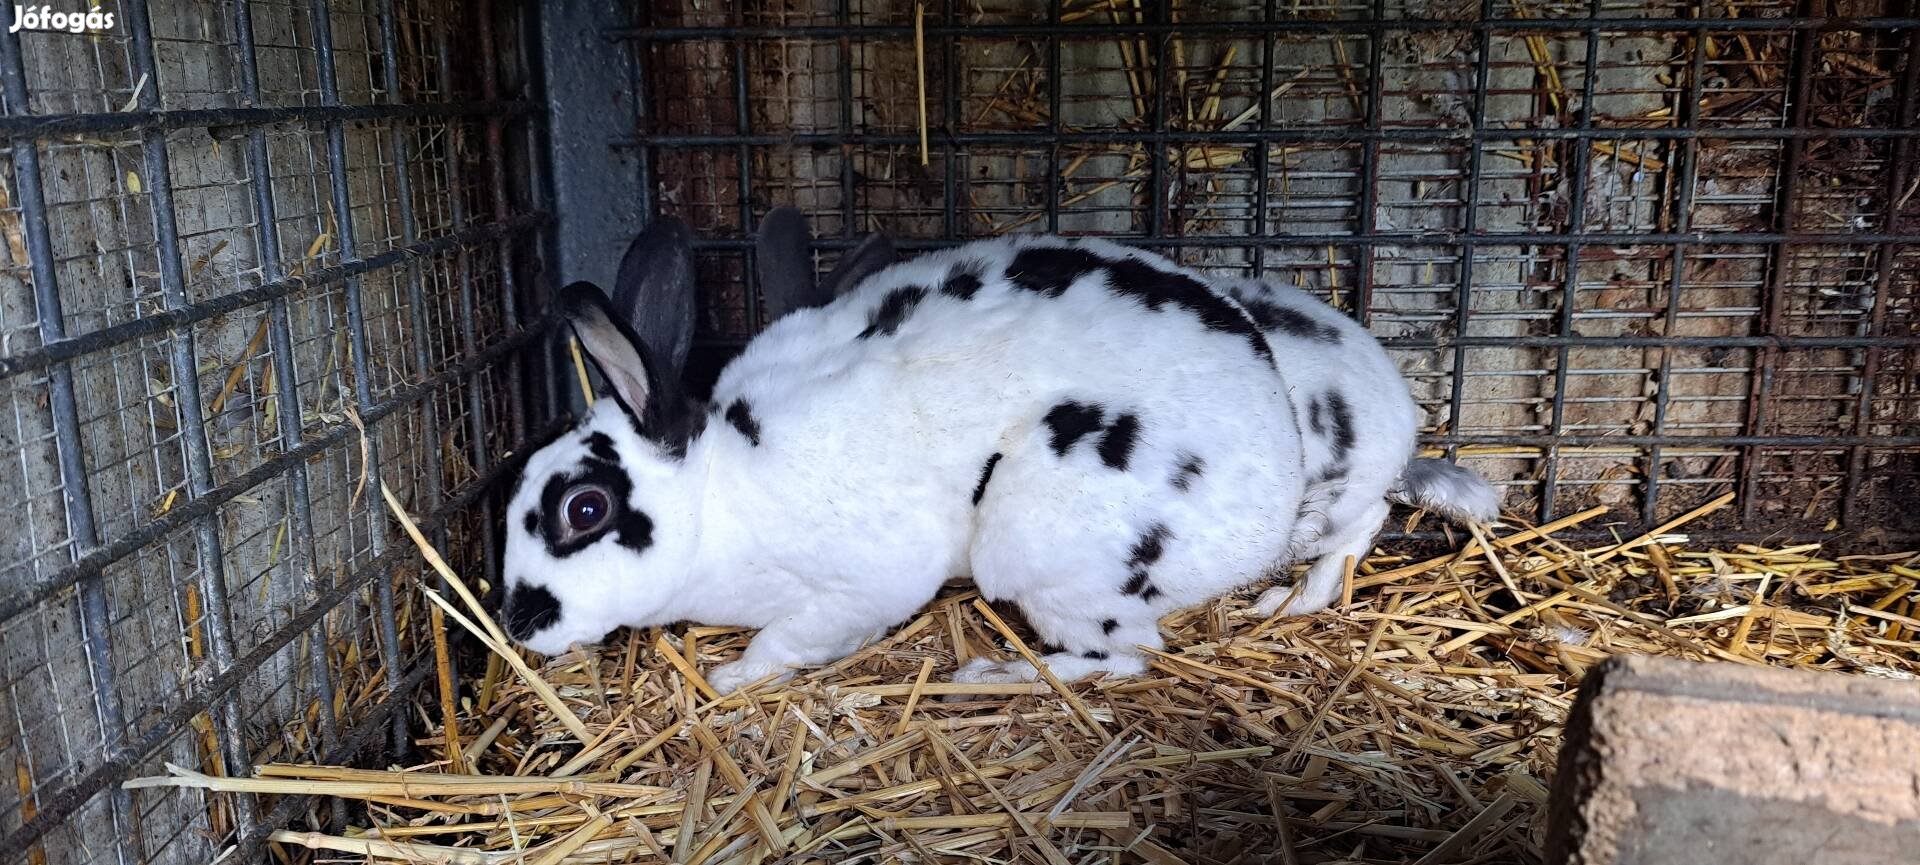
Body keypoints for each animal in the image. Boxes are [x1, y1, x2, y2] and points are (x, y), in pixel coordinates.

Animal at [499, 212, 1497, 694]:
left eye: (583, 508)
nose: (517, 623)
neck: (722, 492)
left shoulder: (861, 588)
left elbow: (794, 639)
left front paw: (731, 672)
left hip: (1043, 550)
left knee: (1129, 656)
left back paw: (995, 673)